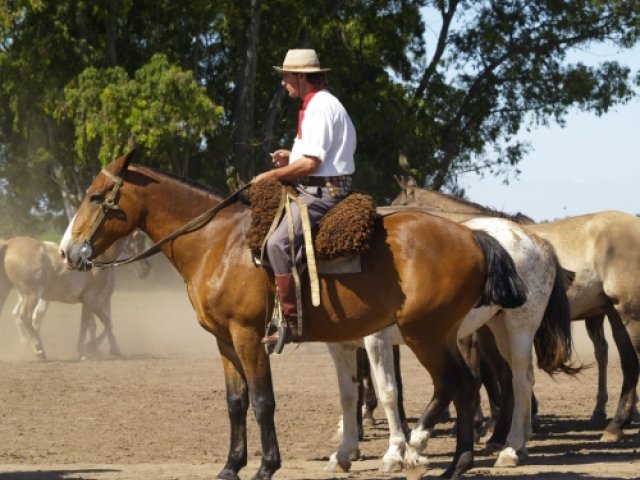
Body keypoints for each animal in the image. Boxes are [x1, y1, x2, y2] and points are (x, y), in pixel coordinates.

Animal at [0, 231, 151, 358]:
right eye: (139, 239)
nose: (146, 269)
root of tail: (9, 244)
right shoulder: (92, 299)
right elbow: (87, 324)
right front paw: (84, 350)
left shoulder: (94, 302)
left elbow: (106, 322)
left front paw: (107, 349)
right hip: (32, 295)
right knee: (25, 317)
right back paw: (39, 349)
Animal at [58, 151, 528, 480]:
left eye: (96, 197)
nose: (66, 251)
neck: (219, 242)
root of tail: (475, 236)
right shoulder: (224, 340)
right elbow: (236, 402)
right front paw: (231, 466)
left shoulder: (248, 336)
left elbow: (263, 400)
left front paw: (267, 466)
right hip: (440, 335)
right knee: (465, 386)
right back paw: (459, 460)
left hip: (426, 335)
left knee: (464, 385)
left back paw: (458, 462)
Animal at [324, 217, 576, 472]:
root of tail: (538, 241)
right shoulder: (341, 345)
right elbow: (348, 395)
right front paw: (344, 452)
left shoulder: (378, 339)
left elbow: (389, 391)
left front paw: (393, 454)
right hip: (495, 328)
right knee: (514, 377)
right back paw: (516, 443)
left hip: (518, 326)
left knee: (518, 381)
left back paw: (509, 447)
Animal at [392, 177, 640, 442]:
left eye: (397, 204)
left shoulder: (471, 334)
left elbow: (483, 373)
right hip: (614, 313)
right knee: (626, 362)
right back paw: (616, 424)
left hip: (626, 313)